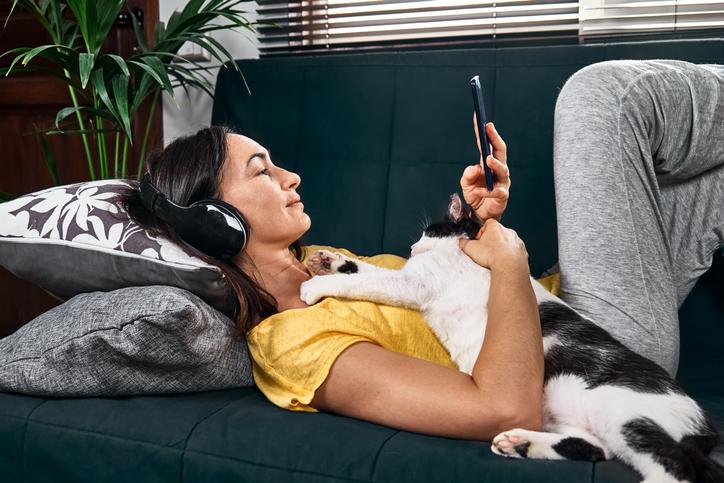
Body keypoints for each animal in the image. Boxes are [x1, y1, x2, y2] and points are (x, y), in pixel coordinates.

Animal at [296, 193, 720, 483]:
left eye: (430, 230)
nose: (413, 246)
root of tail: (704, 424)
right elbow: (366, 270)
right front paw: (331, 260)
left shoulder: (414, 284)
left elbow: (370, 280)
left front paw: (317, 285)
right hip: (570, 417)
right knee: (595, 448)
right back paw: (520, 444)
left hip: (625, 414)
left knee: (674, 468)